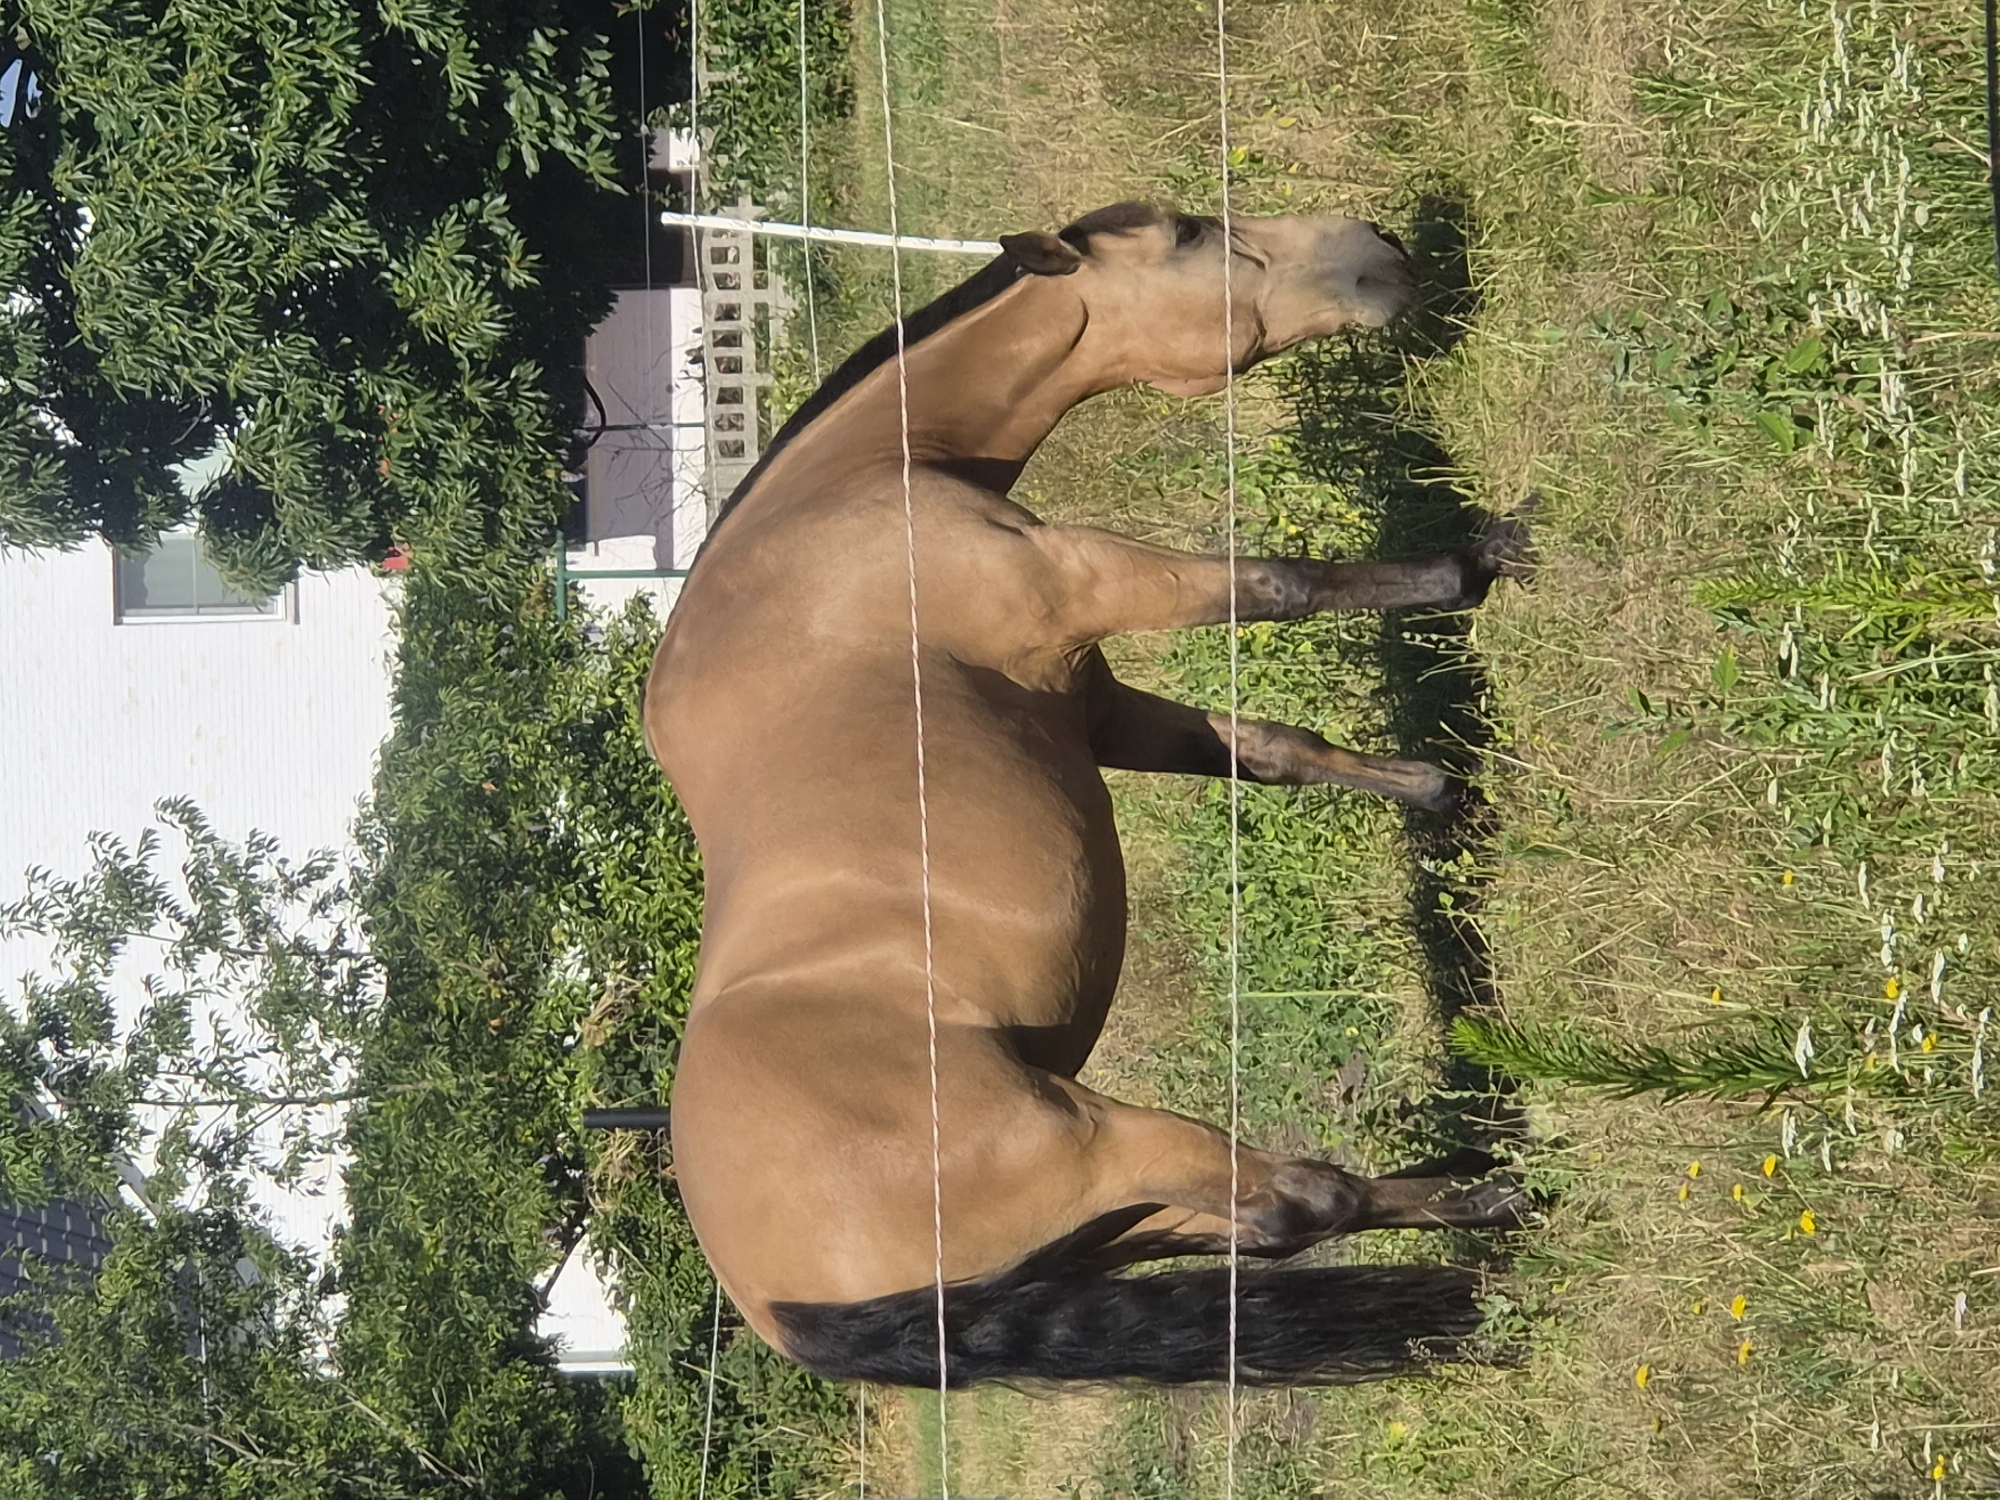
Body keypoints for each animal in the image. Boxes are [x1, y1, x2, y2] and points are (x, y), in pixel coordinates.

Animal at [642, 202, 1533, 1387]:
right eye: (1194, 236)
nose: (1376, 251)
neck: (850, 506)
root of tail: (781, 1308)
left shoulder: (1096, 707)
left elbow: (1272, 749)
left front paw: (1443, 788)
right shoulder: (1094, 582)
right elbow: (1283, 585)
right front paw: (1474, 563)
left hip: (1119, 1226)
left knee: (1271, 1221)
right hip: (1108, 1147)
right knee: (1305, 1202)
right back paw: (1499, 1197)